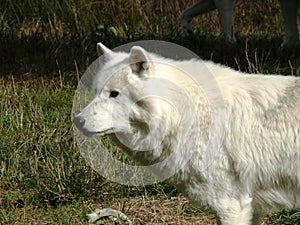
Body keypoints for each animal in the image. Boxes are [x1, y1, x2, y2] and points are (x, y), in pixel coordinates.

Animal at [73, 42, 300, 225]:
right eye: (95, 93)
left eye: (114, 94)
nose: (77, 120)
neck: (182, 113)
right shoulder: (251, 207)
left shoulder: (231, 205)